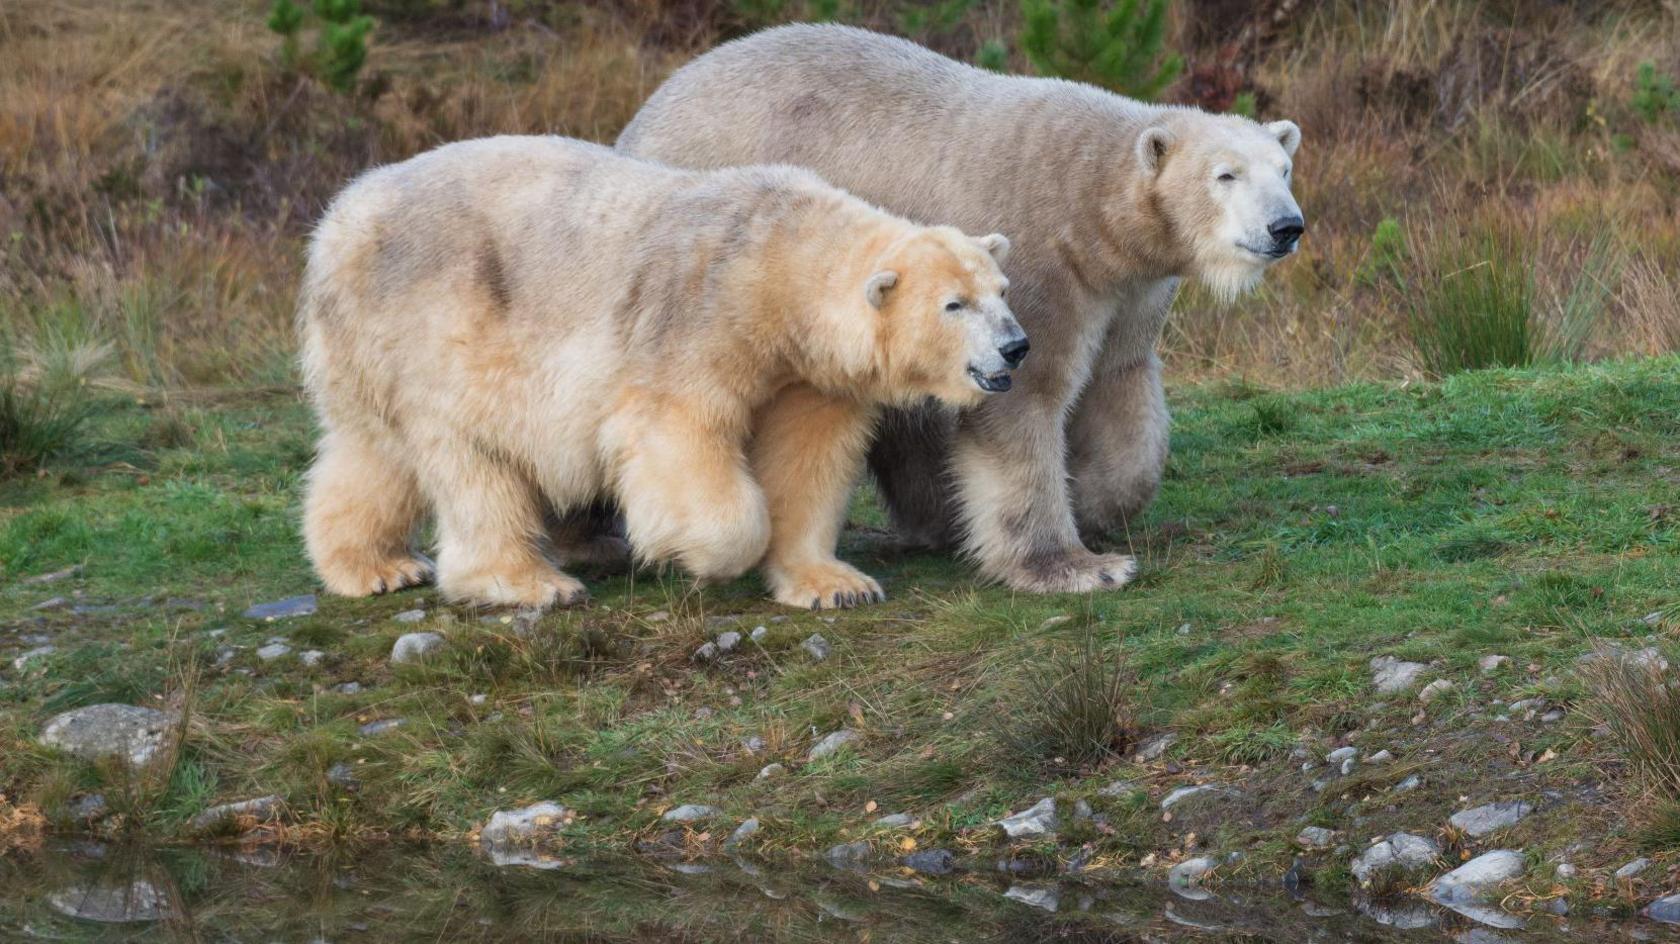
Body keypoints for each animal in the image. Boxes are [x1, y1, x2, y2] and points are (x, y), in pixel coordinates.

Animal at [299, 132, 1021, 604]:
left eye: (1002, 290)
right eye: (954, 305)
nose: (1016, 347)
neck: (772, 259)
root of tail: (337, 226)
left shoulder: (807, 375)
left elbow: (807, 457)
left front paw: (835, 584)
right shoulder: (698, 323)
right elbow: (675, 437)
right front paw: (698, 553)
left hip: (366, 353)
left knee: (372, 453)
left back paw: (376, 566)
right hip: (440, 328)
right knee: (473, 454)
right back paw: (531, 582)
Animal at [624, 23, 1303, 587]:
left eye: (1284, 167)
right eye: (1226, 174)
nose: (1286, 226)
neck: (1091, 206)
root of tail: (645, 112)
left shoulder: (1129, 291)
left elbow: (1120, 384)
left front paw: (1096, 502)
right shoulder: (1033, 264)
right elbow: (1022, 399)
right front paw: (1075, 566)